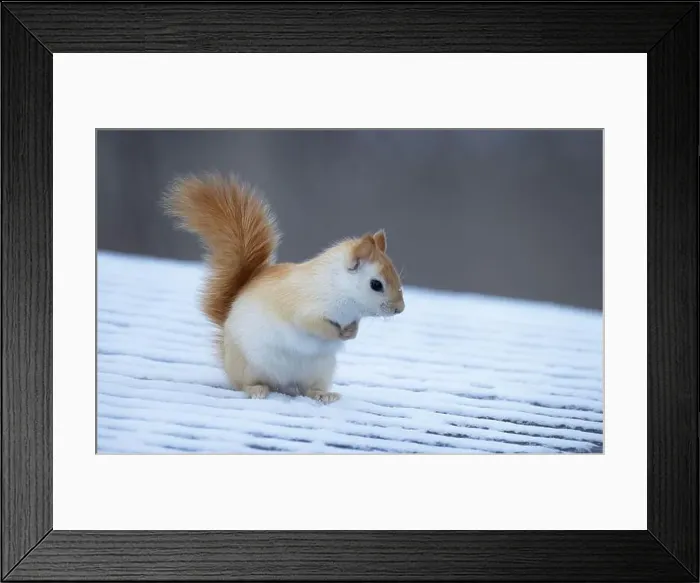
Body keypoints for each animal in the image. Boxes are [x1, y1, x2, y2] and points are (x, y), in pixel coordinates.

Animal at [163, 173, 405, 403]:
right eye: (376, 284)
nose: (399, 309)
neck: (338, 288)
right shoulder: (302, 306)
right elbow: (312, 325)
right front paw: (334, 333)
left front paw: (351, 332)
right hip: (248, 365)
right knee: (243, 384)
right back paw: (257, 389)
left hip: (320, 370)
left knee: (309, 389)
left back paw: (323, 394)